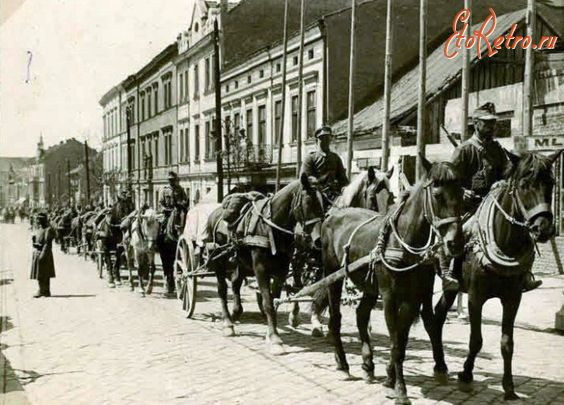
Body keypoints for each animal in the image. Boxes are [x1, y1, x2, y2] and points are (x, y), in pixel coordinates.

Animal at [206, 174, 326, 354]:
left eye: (324, 202)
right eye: (308, 201)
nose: (319, 241)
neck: (270, 228)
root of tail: (216, 211)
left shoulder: (281, 270)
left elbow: (274, 300)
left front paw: (271, 334)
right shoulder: (260, 269)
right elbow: (268, 302)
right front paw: (276, 340)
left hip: (241, 263)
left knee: (235, 284)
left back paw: (236, 312)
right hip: (218, 260)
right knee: (222, 290)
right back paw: (227, 323)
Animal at [320, 156, 464, 402]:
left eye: (462, 193)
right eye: (437, 194)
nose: (455, 242)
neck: (405, 241)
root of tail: (333, 215)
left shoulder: (414, 297)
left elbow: (402, 340)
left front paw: (390, 378)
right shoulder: (390, 297)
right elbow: (396, 341)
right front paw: (399, 389)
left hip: (369, 285)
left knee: (361, 314)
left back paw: (368, 364)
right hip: (334, 277)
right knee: (335, 319)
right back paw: (343, 363)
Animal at [430, 150, 556, 400]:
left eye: (552, 184)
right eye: (524, 185)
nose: (544, 228)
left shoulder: (513, 298)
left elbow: (507, 343)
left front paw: (509, 387)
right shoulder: (475, 298)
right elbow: (476, 340)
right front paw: (466, 375)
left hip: (452, 288)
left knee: (438, 314)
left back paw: (440, 365)